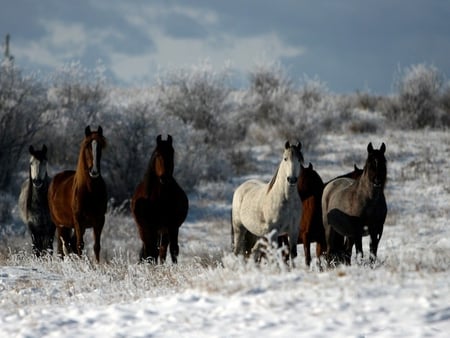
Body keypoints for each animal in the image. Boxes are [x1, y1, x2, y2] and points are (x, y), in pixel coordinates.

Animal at [47, 126, 107, 262]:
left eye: (100, 146)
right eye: (87, 146)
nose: (94, 171)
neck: (90, 191)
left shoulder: (99, 220)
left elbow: (96, 246)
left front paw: (97, 265)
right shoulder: (79, 221)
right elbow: (80, 245)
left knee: (70, 245)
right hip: (61, 225)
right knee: (63, 248)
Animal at [131, 135, 187, 264]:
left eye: (172, 153)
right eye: (157, 154)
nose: (164, 178)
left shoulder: (172, 226)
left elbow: (172, 250)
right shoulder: (148, 227)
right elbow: (150, 250)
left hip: (164, 230)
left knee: (163, 250)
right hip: (150, 229)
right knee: (152, 249)